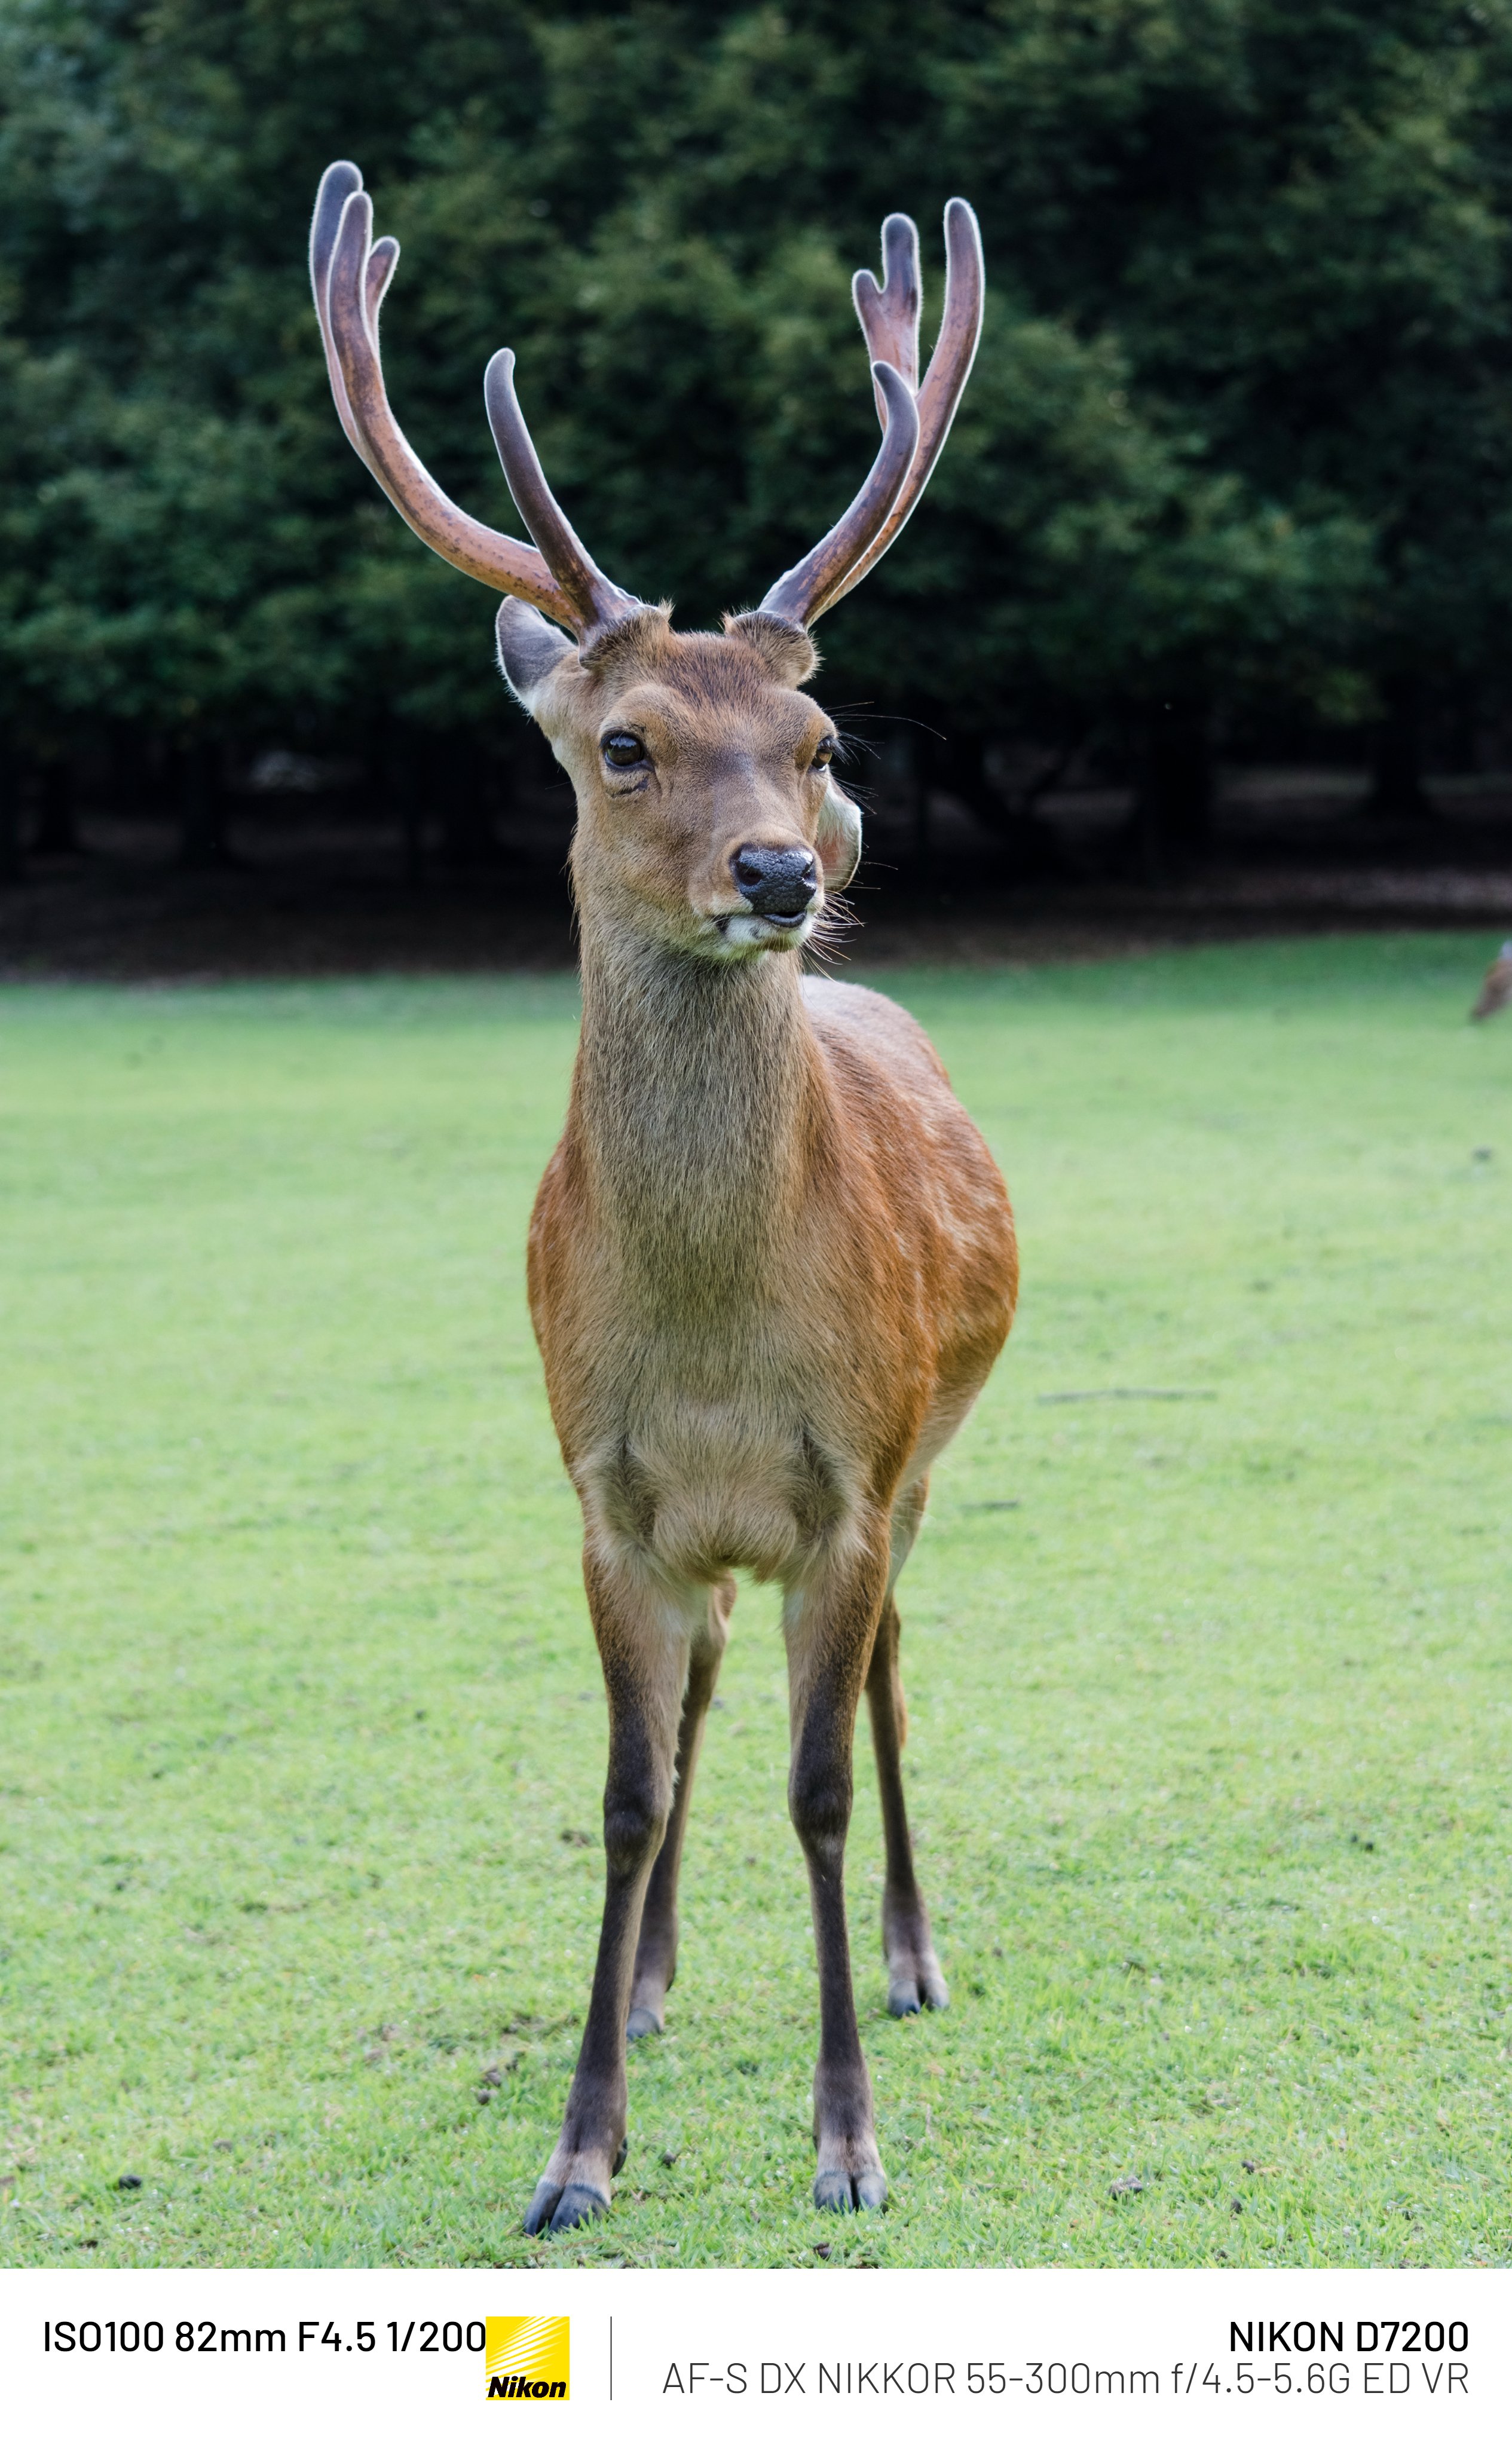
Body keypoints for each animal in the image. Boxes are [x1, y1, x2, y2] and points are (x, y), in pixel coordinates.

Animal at [310, 161, 1018, 2233]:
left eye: (818, 744)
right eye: (625, 745)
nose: (787, 870)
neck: (709, 1339)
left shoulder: (851, 1476)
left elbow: (818, 1784)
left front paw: (848, 2137)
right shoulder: (608, 1496)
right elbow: (628, 1793)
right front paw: (579, 2142)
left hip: (923, 1459)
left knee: (888, 1684)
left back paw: (915, 1953)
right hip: (711, 1547)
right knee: (700, 1700)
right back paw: (662, 1970)